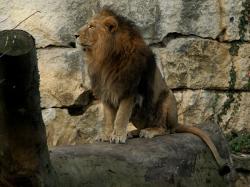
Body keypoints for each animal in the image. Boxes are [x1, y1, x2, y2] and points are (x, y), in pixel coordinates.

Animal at [75, 7, 229, 174]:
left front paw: (118, 136)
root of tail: (177, 123)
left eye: (91, 26)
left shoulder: (129, 91)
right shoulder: (107, 92)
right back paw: (133, 132)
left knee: (165, 129)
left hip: (167, 99)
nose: (75, 35)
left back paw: (149, 132)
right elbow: (109, 118)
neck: (105, 58)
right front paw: (106, 134)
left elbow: (120, 117)